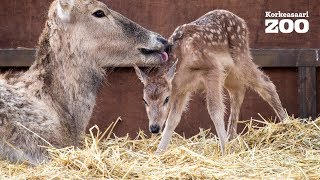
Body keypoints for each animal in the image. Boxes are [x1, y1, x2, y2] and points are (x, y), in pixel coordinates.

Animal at [134, 9, 286, 154]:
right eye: (144, 100)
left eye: (166, 99)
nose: (154, 128)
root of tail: (242, 22)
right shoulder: (182, 88)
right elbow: (173, 119)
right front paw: (158, 153)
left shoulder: (212, 69)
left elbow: (215, 110)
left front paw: (226, 151)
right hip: (229, 73)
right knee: (238, 91)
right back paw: (231, 138)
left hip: (241, 57)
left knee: (266, 83)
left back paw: (286, 123)